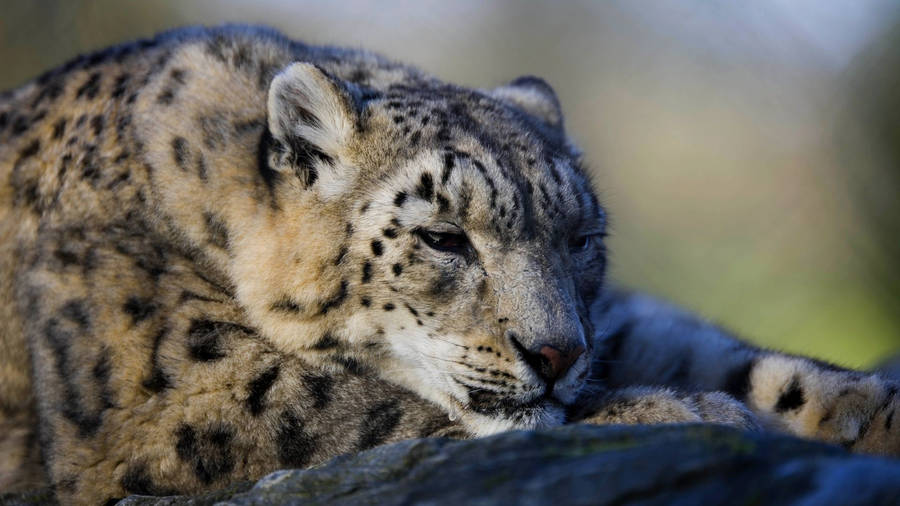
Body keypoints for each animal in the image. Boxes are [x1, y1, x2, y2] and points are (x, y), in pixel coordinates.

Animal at [0, 25, 897, 504]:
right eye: (444, 239)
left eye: (580, 239)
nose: (556, 353)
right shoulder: (166, 390)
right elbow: (355, 408)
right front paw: (686, 414)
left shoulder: (610, 320)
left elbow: (717, 351)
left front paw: (870, 408)